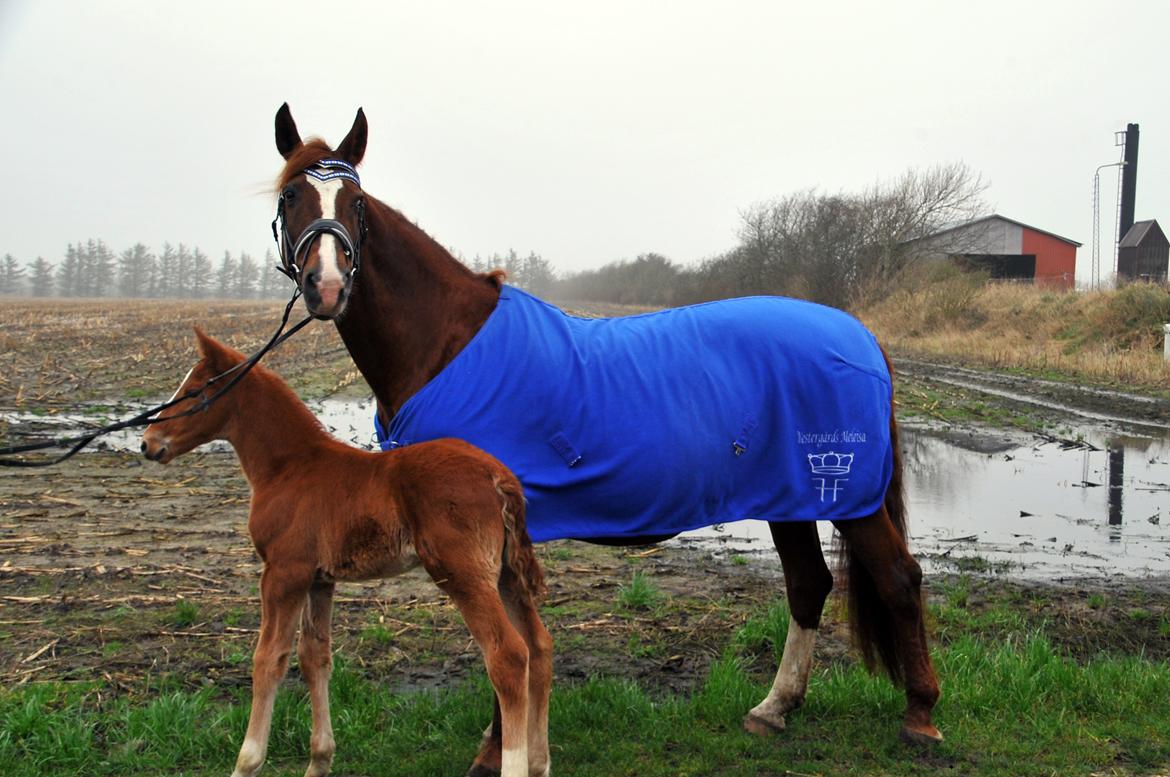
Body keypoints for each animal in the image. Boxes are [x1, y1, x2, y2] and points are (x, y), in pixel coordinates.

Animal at [140, 329, 552, 777]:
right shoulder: (320, 579)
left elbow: (269, 659)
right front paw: (319, 761)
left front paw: (247, 762)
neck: (290, 467)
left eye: (194, 390)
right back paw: (538, 763)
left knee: (508, 655)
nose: (147, 443)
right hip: (505, 574)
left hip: (464, 574)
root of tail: (499, 475)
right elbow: (314, 657)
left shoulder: (282, 573)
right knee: (538, 645)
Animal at [271, 102, 940, 772]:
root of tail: (860, 335)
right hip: (790, 497)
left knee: (898, 579)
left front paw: (496, 750)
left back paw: (920, 717)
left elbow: (506, 643)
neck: (446, 344)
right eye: (291, 195)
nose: (326, 286)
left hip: (850, 497)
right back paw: (774, 709)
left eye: (355, 200)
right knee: (809, 584)